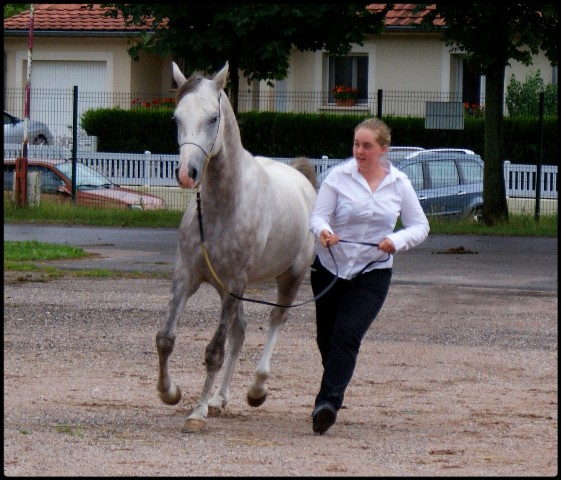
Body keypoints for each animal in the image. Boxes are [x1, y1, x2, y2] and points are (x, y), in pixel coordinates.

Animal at [155, 62, 318, 434]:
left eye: (213, 117)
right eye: (176, 118)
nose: (187, 173)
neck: (223, 206)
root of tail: (302, 180)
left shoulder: (235, 284)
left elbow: (214, 351)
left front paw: (196, 413)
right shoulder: (187, 276)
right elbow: (166, 338)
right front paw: (170, 392)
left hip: (288, 277)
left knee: (275, 319)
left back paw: (256, 388)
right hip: (225, 288)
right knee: (240, 332)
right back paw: (219, 399)